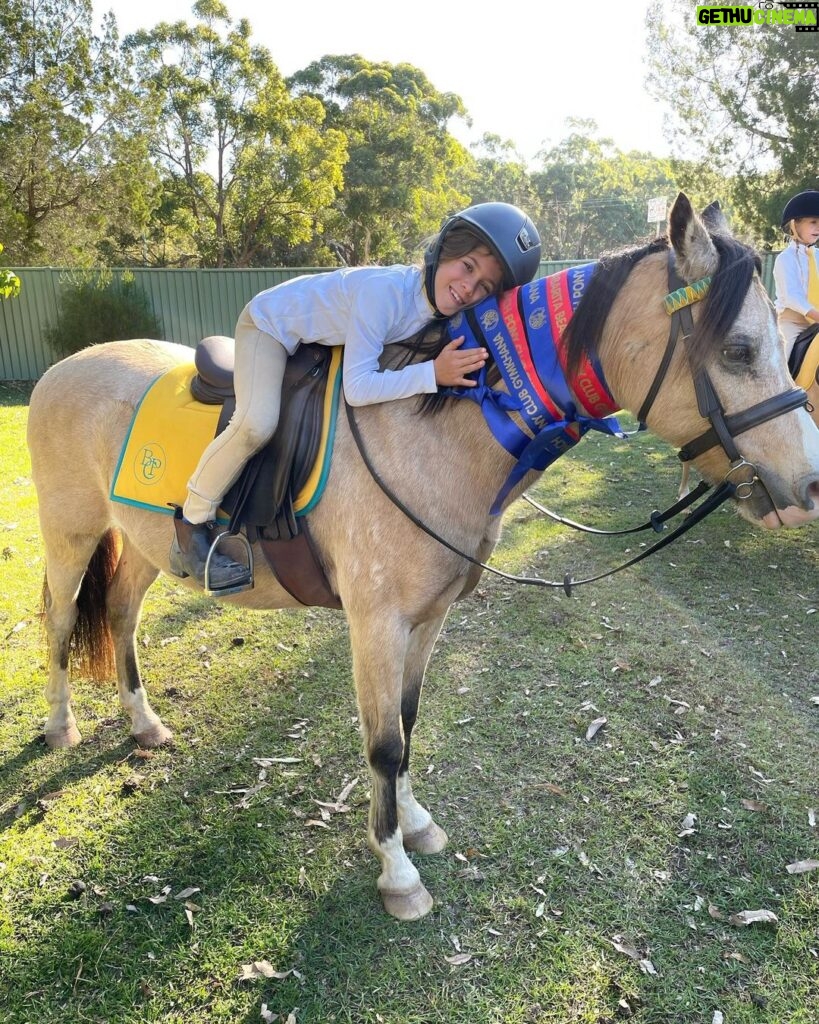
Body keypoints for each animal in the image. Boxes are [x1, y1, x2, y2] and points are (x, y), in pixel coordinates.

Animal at [22, 192, 818, 921]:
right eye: (738, 350)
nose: (807, 484)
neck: (436, 430)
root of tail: (64, 366)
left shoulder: (429, 618)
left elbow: (407, 723)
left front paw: (417, 826)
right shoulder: (375, 624)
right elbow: (381, 743)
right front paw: (396, 872)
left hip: (142, 545)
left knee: (119, 616)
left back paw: (144, 723)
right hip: (70, 531)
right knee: (60, 621)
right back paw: (61, 726)